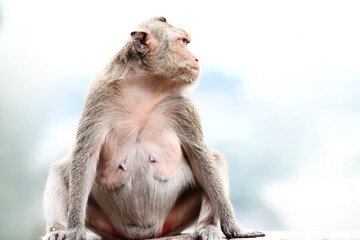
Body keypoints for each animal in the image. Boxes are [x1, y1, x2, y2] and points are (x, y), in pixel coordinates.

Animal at [41, 17, 264, 240]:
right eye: (183, 42)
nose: (196, 59)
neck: (146, 88)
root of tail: (143, 234)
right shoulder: (98, 96)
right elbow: (85, 155)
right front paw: (74, 230)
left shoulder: (182, 106)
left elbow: (201, 157)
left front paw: (234, 228)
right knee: (59, 170)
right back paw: (57, 230)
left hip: (173, 220)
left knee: (214, 160)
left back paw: (207, 226)